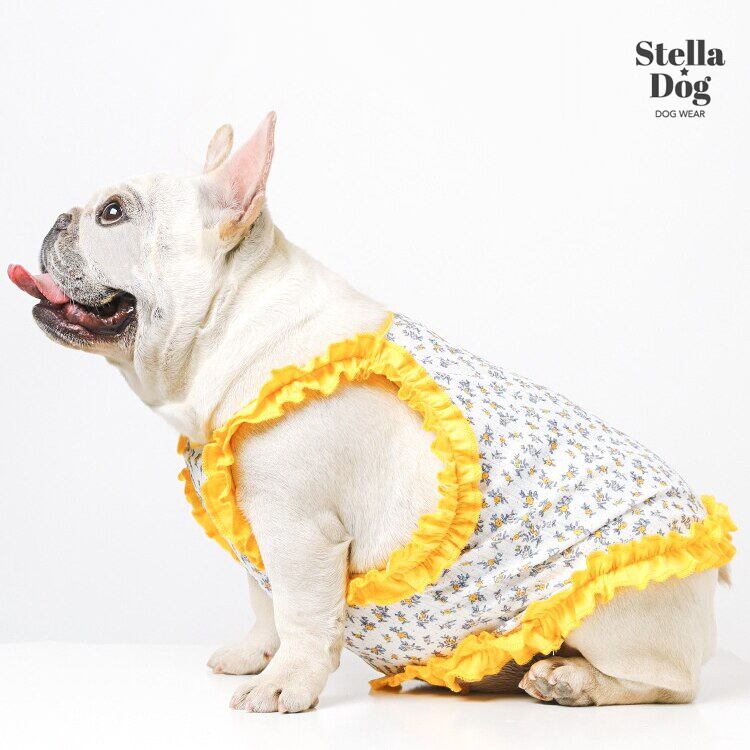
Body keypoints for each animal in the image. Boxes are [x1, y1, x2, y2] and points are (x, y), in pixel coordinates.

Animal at [9, 113, 734, 713]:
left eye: (111, 213)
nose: (56, 218)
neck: (237, 328)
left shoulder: (298, 531)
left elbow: (301, 613)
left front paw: (284, 686)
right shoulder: (256, 529)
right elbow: (263, 601)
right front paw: (255, 655)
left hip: (614, 612)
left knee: (669, 683)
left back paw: (573, 680)